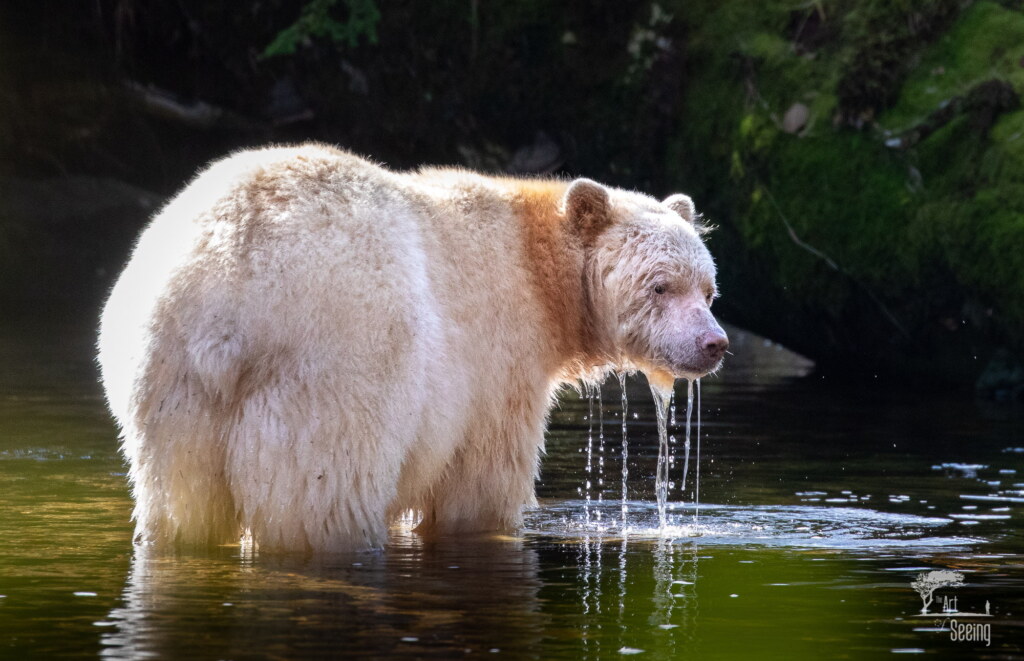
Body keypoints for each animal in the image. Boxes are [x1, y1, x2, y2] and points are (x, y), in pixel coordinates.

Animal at [98, 143, 728, 552]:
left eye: (707, 287)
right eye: (661, 286)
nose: (714, 343)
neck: (541, 273)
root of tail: (226, 276)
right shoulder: (499, 355)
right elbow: (482, 481)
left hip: (166, 379)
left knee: (179, 501)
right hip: (339, 362)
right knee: (324, 498)